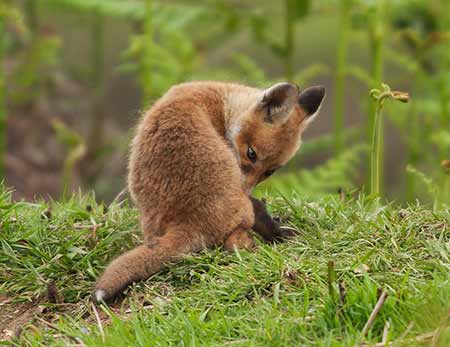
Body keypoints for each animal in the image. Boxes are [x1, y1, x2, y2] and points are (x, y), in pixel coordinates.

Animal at [93, 81, 326, 304]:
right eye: (251, 153)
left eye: (269, 172)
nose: (243, 188)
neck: (220, 100)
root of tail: (186, 222)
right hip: (241, 215)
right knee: (237, 242)